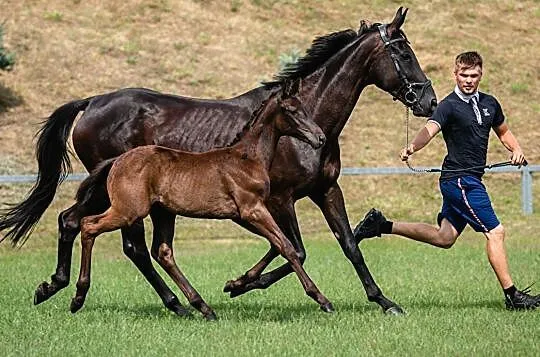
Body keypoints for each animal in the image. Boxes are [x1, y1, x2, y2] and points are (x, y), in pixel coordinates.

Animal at [71, 90, 330, 318]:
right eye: (292, 111)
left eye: (305, 109)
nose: (320, 138)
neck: (248, 158)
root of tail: (117, 161)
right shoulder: (252, 209)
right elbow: (287, 247)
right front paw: (322, 300)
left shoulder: (251, 213)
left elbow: (279, 245)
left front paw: (236, 284)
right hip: (129, 210)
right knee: (89, 225)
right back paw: (78, 297)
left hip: (163, 213)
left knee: (163, 252)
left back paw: (203, 307)